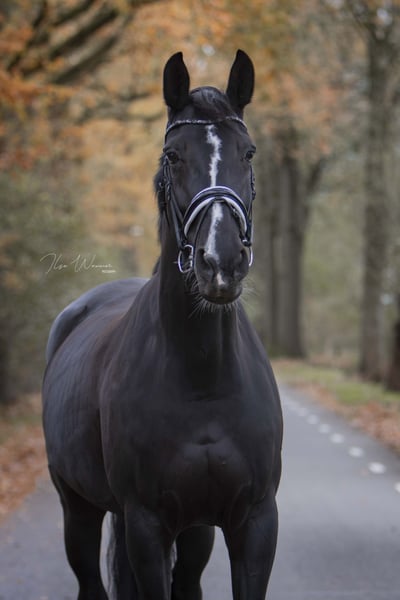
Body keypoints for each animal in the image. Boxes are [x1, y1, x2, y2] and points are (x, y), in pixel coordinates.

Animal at [42, 49, 283, 600]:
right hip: (78, 510)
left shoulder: (254, 522)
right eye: (174, 156)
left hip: (193, 530)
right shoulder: (146, 525)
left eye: (249, 153)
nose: (220, 263)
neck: (203, 379)